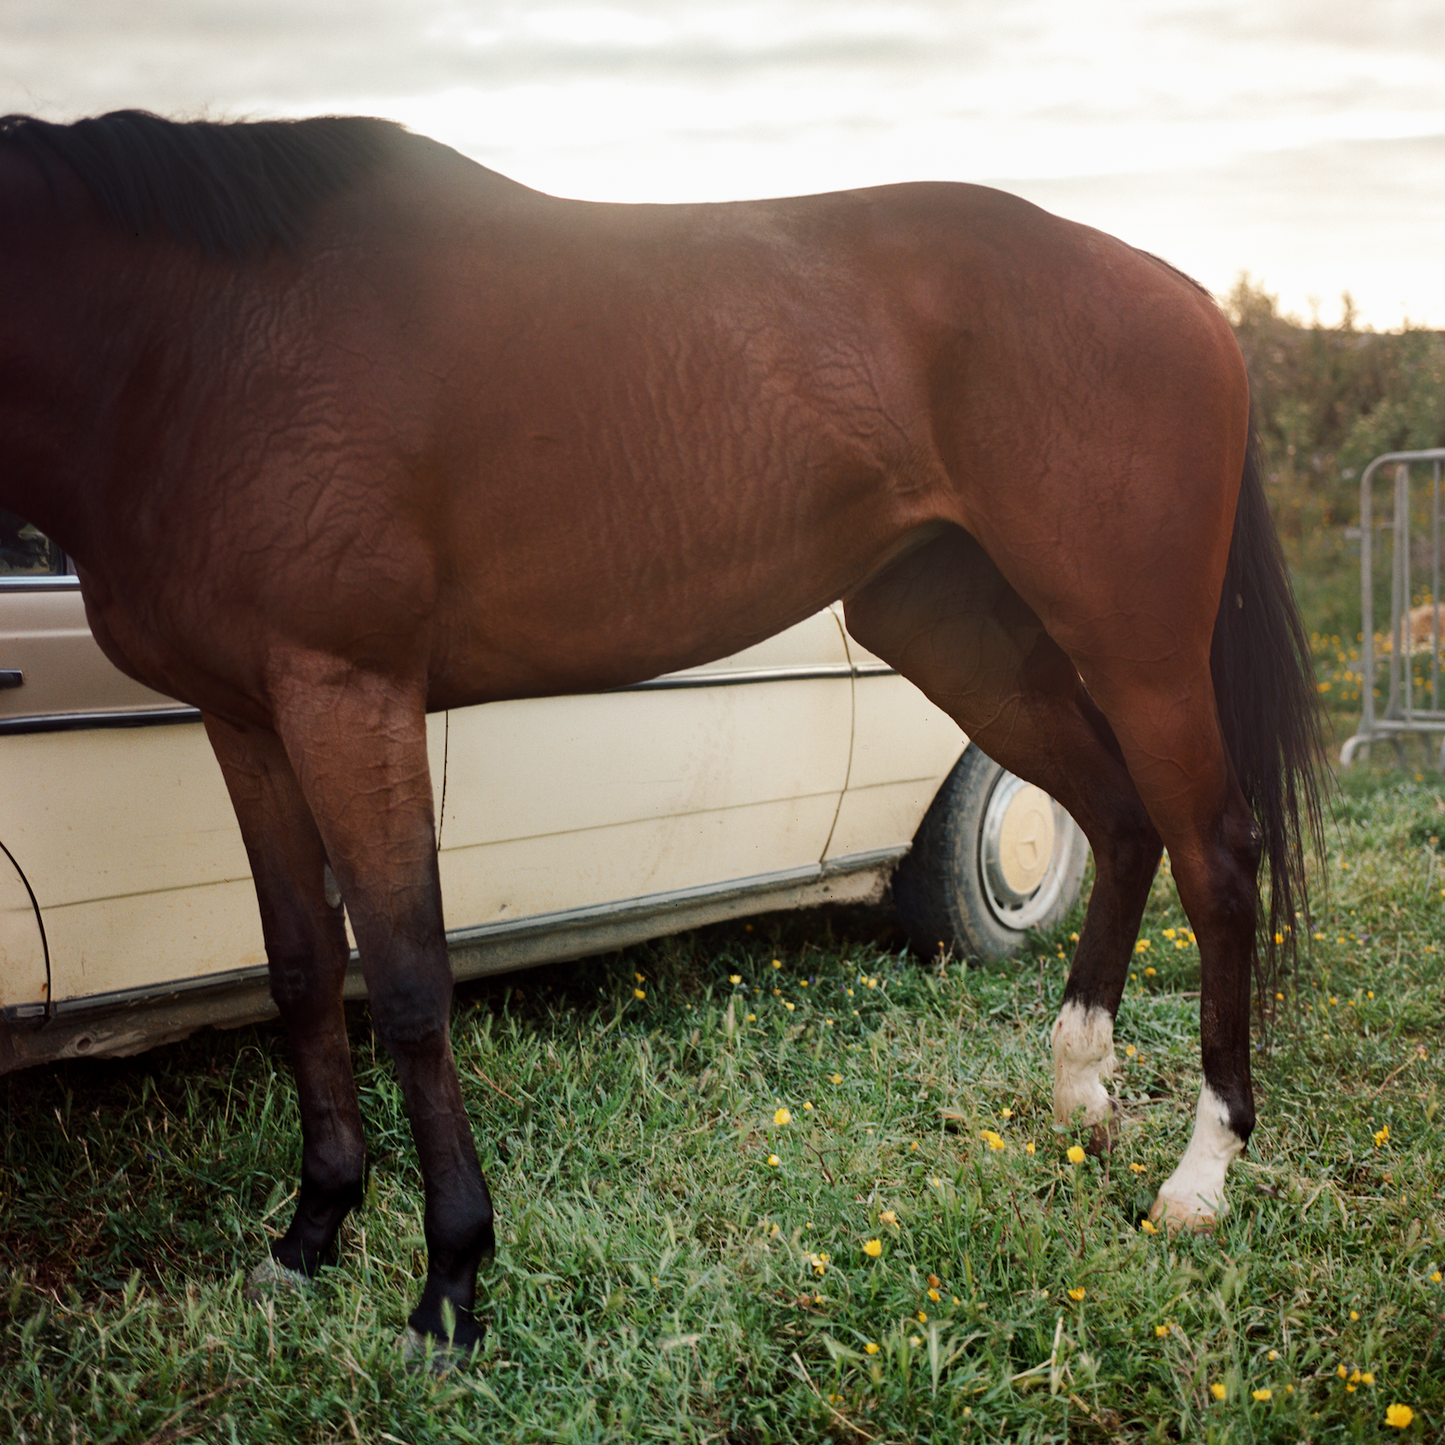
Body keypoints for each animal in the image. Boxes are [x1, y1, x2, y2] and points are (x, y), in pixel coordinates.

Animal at [0, 110, 1323, 1356]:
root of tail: (1182, 296)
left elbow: (410, 980)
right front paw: (308, 1235)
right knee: (1117, 816)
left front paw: (450, 1282)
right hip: (957, 630)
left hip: (1135, 650)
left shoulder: (347, 693)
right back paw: (1079, 1086)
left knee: (1213, 857)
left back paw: (1200, 1171)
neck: (197, 341)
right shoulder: (247, 719)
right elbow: (300, 968)